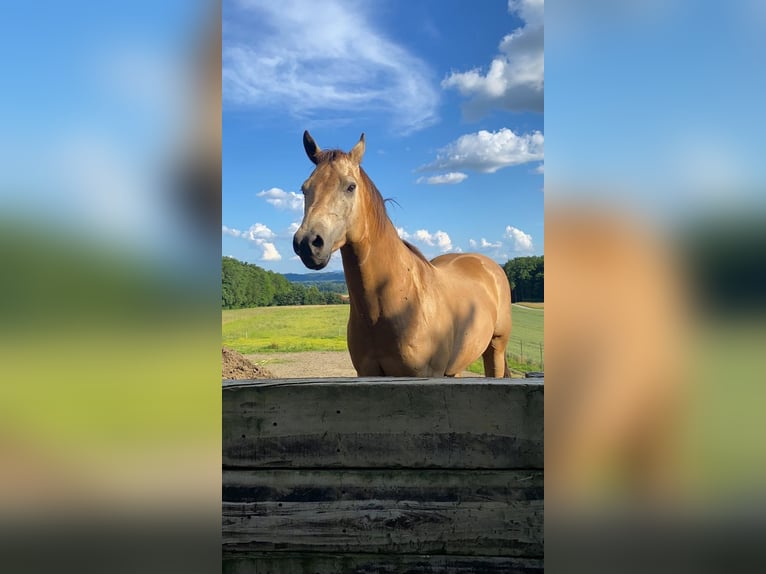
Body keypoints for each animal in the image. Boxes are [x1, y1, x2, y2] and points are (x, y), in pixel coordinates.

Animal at [294, 133, 516, 380]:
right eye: (305, 188)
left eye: (350, 187)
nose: (307, 243)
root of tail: (489, 265)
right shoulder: (367, 374)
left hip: (495, 349)